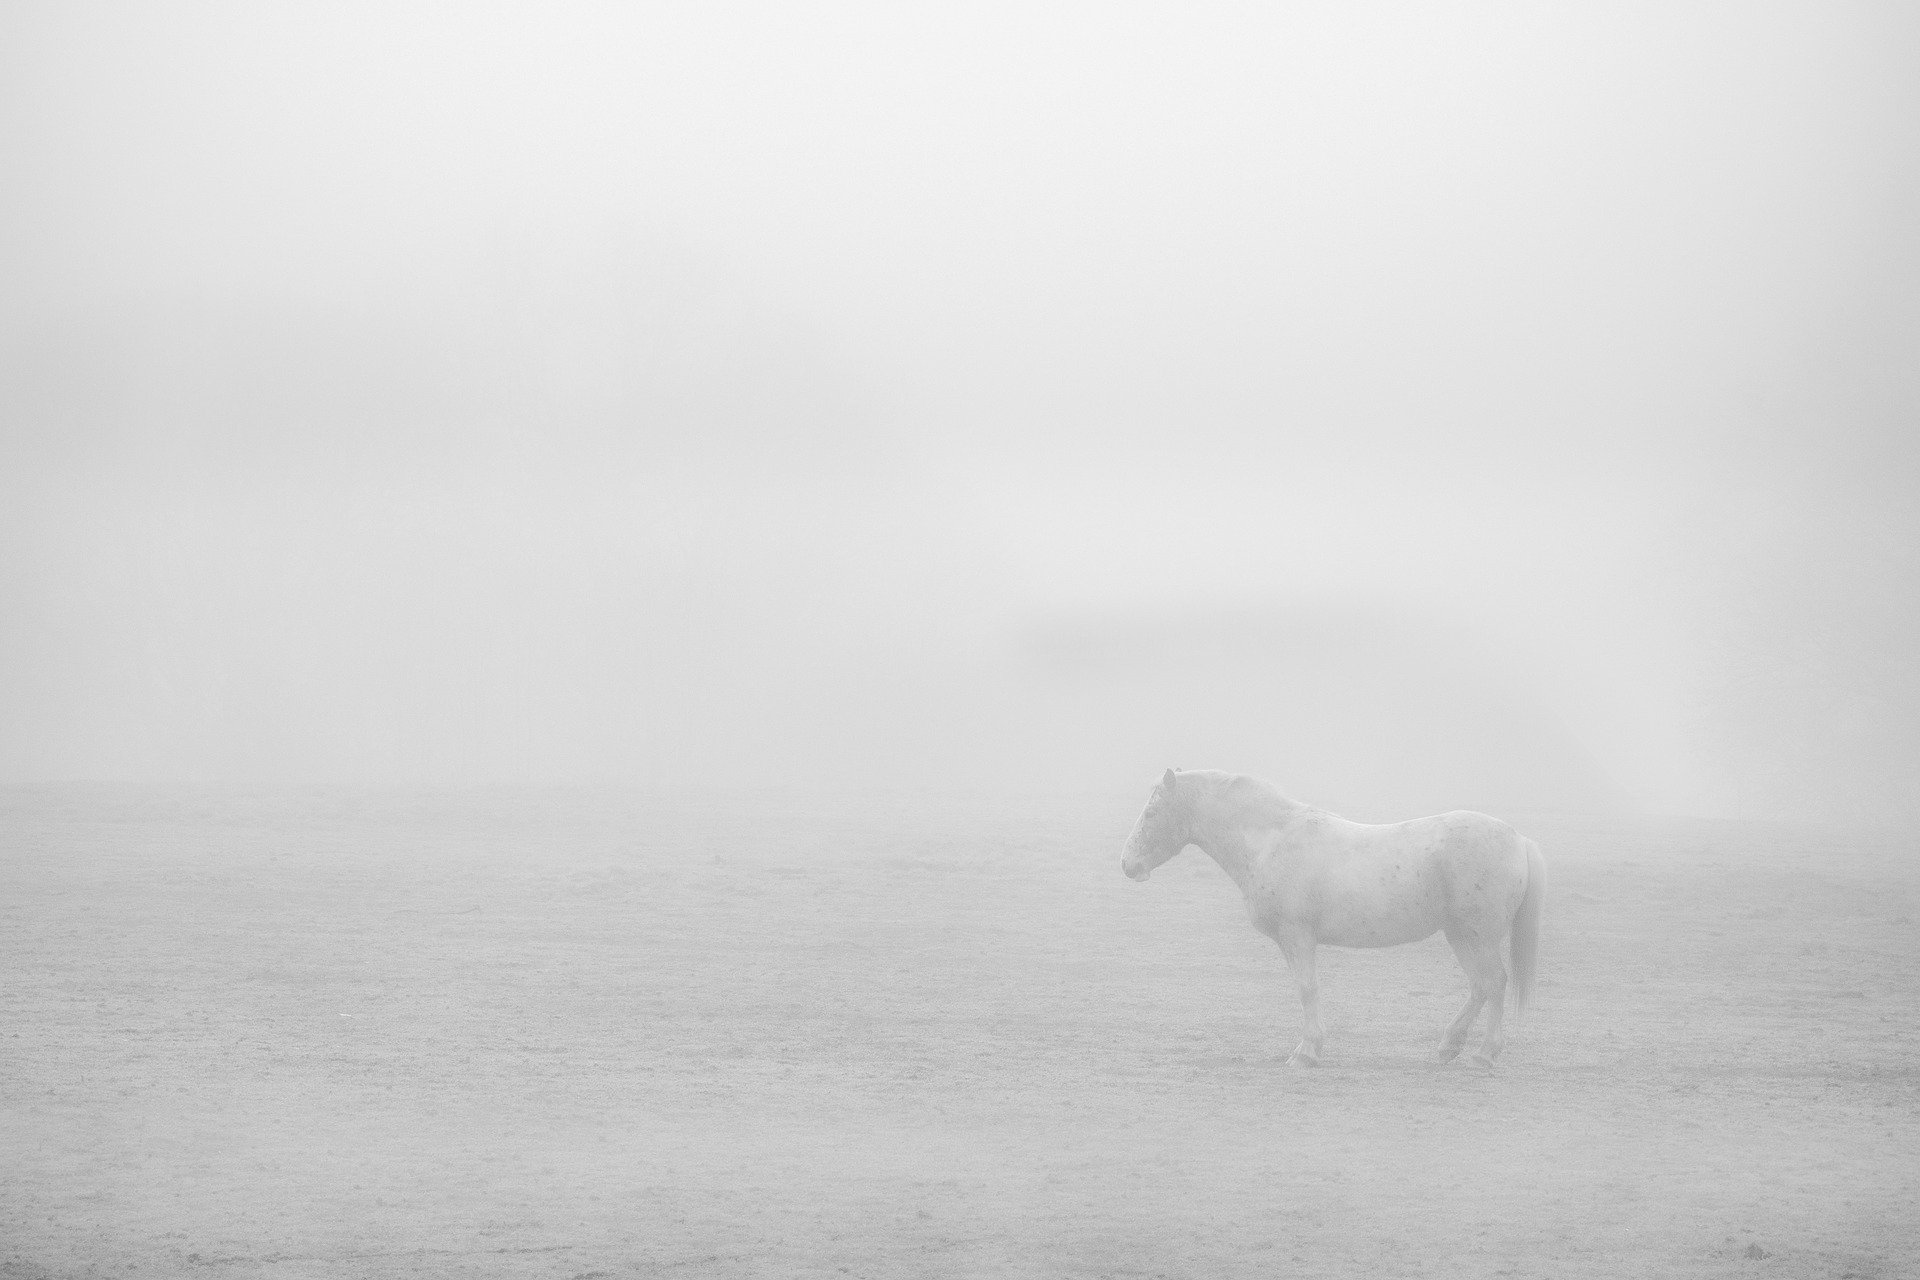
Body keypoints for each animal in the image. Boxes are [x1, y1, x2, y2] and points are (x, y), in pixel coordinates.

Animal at [1121, 775, 1543, 1066]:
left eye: (1152, 813)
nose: (1128, 864)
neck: (1273, 840)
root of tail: (1518, 839)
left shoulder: (1298, 936)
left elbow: (1307, 989)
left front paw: (1306, 1052)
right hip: (1460, 935)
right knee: (1480, 986)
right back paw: (1448, 1046)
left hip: (1479, 935)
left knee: (1494, 983)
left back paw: (1485, 1053)